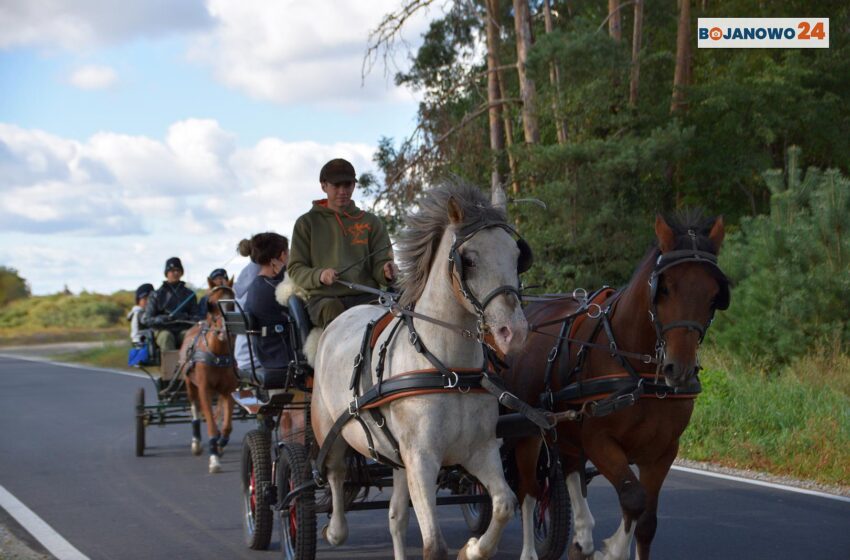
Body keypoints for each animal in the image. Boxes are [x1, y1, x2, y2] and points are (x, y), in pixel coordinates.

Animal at [179, 284, 237, 472]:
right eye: (210, 304)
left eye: (233, 302)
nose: (224, 331)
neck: (217, 354)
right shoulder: (204, 389)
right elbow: (210, 423)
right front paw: (214, 459)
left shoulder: (229, 390)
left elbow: (227, 425)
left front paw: (220, 444)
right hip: (190, 384)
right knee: (195, 408)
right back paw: (196, 443)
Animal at [308, 182, 528, 556]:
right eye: (469, 260)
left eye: (517, 256)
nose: (513, 333)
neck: (449, 372)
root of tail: (341, 317)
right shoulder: (422, 459)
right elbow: (434, 546)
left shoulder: (480, 450)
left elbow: (504, 504)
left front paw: (473, 549)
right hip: (330, 432)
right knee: (335, 474)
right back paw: (334, 530)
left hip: (399, 459)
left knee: (396, 518)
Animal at [504, 212, 728, 556]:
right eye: (665, 288)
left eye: (714, 295)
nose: (679, 369)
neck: (641, 375)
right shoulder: (600, 441)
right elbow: (633, 498)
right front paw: (611, 550)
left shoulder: (663, 451)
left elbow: (647, 521)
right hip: (527, 431)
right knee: (528, 491)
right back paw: (532, 551)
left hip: (565, 431)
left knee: (569, 472)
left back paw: (582, 538)